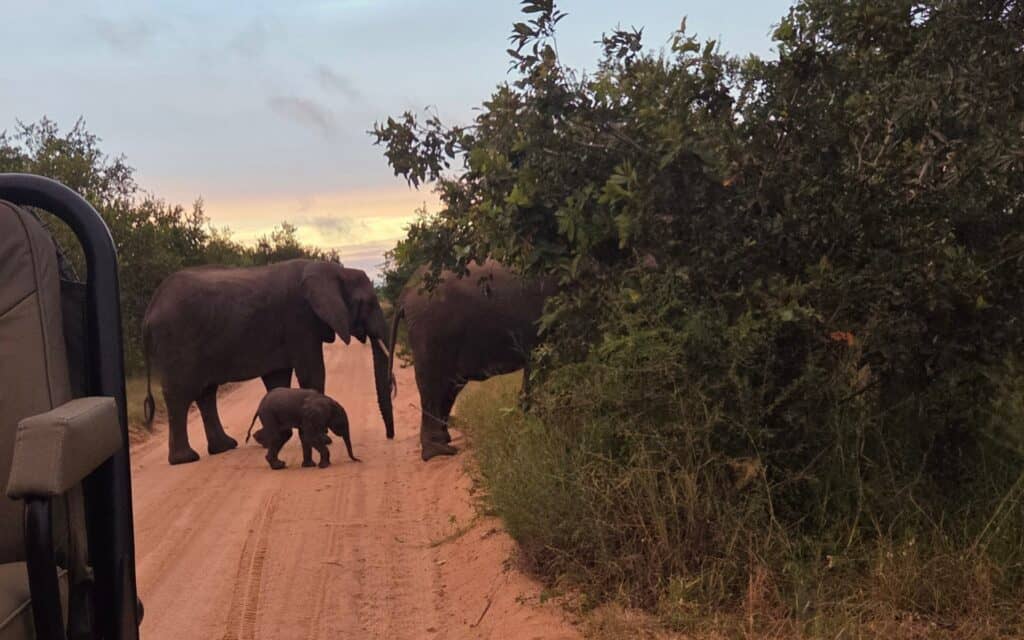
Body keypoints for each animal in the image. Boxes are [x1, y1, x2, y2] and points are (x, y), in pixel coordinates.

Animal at [142, 258, 394, 465]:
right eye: (369, 303)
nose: (390, 437)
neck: (334, 270)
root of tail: (150, 309)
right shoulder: (300, 320)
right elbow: (311, 372)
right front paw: (323, 438)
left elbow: (278, 380)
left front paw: (268, 438)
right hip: (176, 340)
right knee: (180, 395)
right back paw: (185, 459)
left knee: (206, 393)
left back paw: (224, 447)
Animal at [388, 259, 555, 461]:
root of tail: (405, 292)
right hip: (433, 330)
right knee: (435, 383)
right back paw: (439, 451)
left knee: (449, 386)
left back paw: (444, 442)